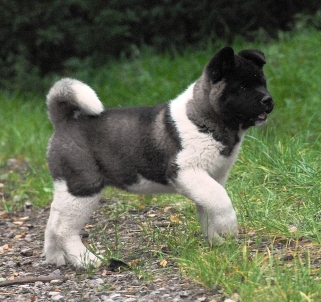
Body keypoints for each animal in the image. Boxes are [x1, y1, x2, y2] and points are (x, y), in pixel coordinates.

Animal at [43, 46, 272, 268]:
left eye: (263, 83)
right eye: (242, 88)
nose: (269, 100)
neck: (205, 121)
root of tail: (65, 121)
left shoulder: (211, 178)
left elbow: (208, 207)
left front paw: (215, 241)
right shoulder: (186, 172)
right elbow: (220, 199)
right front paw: (228, 227)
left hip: (67, 188)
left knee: (53, 222)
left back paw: (55, 257)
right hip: (84, 187)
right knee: (64, 230)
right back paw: (85, 260)